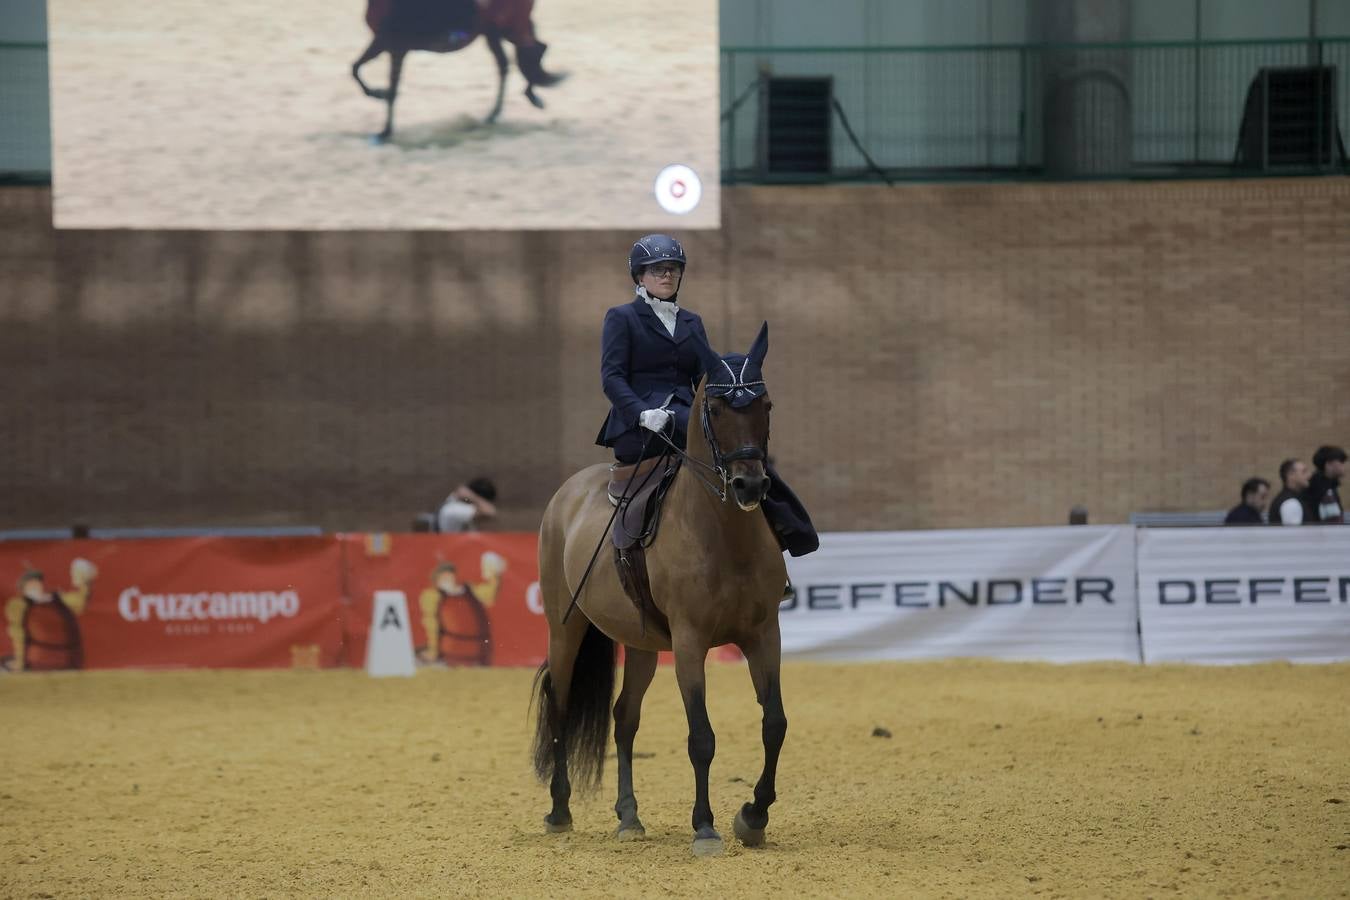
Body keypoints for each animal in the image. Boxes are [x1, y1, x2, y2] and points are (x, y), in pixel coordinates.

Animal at [353, 0, 564, 142]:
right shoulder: (384, 44)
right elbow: (356, 69)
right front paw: (378, 94)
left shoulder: (393, 46)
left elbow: (390, 88)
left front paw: (385, 131)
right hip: (494, 32)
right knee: (512, 61)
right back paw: (496, 113)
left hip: (509, 28)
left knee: (534, 50)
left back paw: (530, 97)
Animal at [523, 323, 783, 858]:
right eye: (717, 409)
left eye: (766, 405)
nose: (749, 486)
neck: (724, 534)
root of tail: (566, 494)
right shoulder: (689, 642)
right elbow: (701, 736)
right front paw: (705, 828)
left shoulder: (765, 633)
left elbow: (774, 724)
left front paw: (753, 817)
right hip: (566, 629)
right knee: (560, 706)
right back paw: (559, 812)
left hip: (640, 642)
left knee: (624, 717)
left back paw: (629, 817)